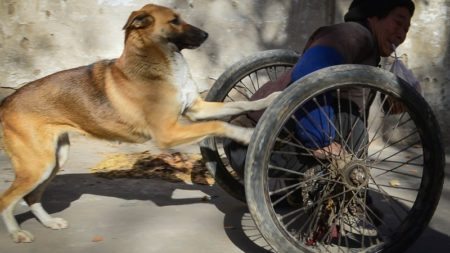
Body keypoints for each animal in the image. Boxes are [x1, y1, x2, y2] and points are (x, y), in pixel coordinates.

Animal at [0, 2, 280, 242]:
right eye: (174, 21)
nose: (206, 34)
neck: (160, 63)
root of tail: (7, 102)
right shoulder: (168, 133)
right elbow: (218, 125)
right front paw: (245, 134)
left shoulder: (195, 109)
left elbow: (241, 105)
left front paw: (271, 99)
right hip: (38, 165)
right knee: (7, 199)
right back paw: (16, 233)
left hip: (55, 159)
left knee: (32, 197)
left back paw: (49, 222)